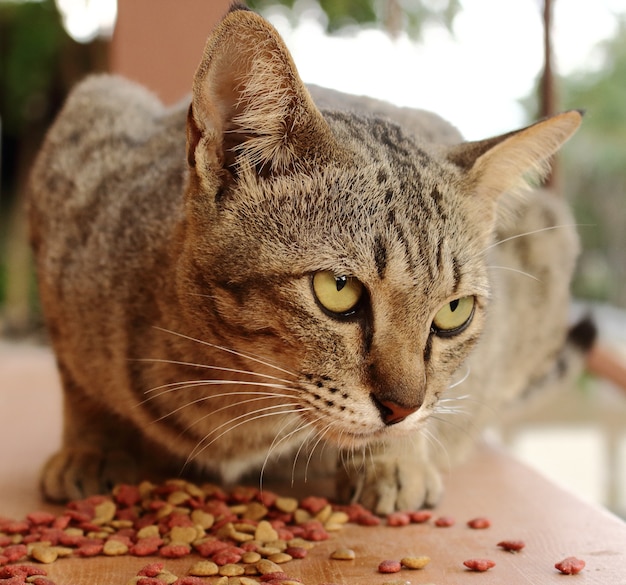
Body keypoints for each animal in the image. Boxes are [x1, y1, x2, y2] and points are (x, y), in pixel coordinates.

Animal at [26, 3, 588, 512]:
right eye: (338, 289)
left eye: (454, 312)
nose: (401, 409)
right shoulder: (84, 133)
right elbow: (78, 386)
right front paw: (92, 447)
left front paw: (394, 460)